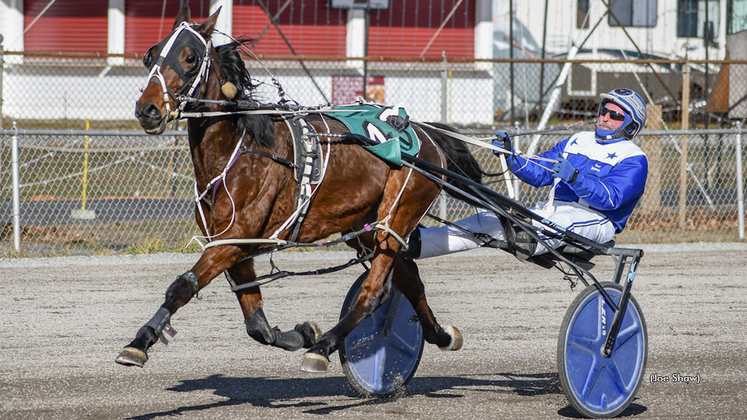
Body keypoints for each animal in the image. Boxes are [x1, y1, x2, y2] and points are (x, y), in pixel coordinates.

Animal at [114, 4, 482, 374]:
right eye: (150, 55)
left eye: (189, 57)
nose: (148, 109)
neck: (240, 151)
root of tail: (424, 132)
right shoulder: (230, 243)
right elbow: (257, 326)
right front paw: (302, 333)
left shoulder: (234, 239)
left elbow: (181, 287)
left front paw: (139, 342)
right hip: (365, 226)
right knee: (411, 280)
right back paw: (440, 335)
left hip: (398, 214)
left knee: (374, 291)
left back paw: (324, 347)